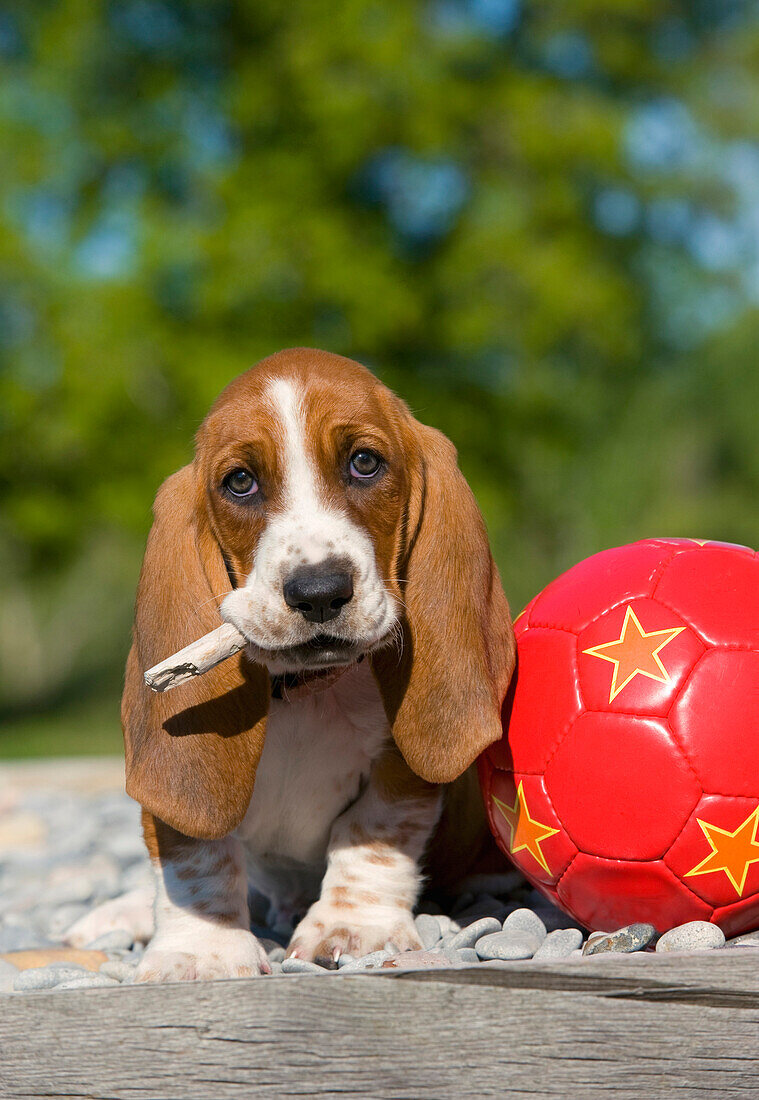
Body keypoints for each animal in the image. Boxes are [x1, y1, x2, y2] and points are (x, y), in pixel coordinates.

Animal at [67, 345, 514, 981]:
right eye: (240, 482)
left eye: (364, 463)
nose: (320, 592)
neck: (308, 691)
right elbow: (194, 855)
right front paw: (201, 951)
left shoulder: (401, 769)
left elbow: (374, 830)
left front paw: (352, 928)